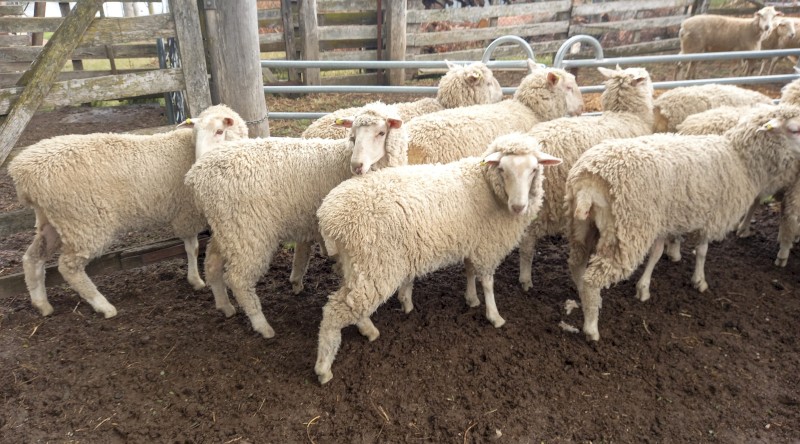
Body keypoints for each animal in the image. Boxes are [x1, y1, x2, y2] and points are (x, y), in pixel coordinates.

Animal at [8, 104, 248, 318]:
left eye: (220, 131)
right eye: (195, 134)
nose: (198, 164)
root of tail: (22, 172)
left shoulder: (185, 213)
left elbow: (192, 248)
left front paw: (194, 279)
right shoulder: (187, 213)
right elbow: (193, 248)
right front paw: (196, 280)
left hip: (55, 221)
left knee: (32, 258)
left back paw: (42, 304)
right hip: (84, 222)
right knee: (68, 268)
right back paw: (104, 306)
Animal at [184, 102, 408, 339]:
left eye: (381, 133)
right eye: (353, 136)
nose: (357, 165)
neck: (342, 160)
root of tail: (196, 175)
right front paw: (364, 323)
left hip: (226, 229)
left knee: (212, 264)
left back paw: (225, 306)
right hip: (247, 232)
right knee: (238, 279)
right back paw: (262, 325)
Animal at [313, 133, 562, 384]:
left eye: (534, 169)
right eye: (502, 168)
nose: (519, 206)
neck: (486, 185)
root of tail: (329, 216)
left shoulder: (472, 240)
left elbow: (469, 271)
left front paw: (471, 299)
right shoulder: (488, 246)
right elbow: (488, 283)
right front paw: (494, 316)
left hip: (355, 264)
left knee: (350, 300)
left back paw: (368, 330)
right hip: (377, 265)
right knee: (335, 311)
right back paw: (324, 369)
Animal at [565, 104, 800, 341]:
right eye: (795, 129)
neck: (741, 160)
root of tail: (590, 179)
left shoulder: (664, 220)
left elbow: (657, 252)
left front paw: (644, 287)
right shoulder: (710, 218)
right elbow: (702, 251)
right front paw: (699, 281)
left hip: (583, 227)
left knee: (576, 264)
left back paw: (583, 296)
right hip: (627, 232)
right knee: (592, 280)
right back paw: (591, 327)